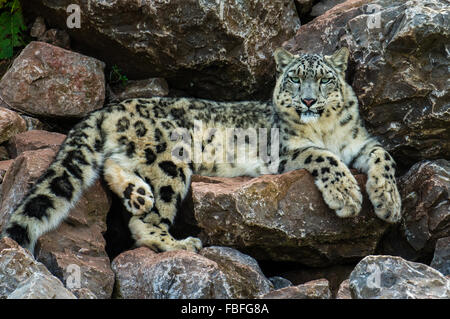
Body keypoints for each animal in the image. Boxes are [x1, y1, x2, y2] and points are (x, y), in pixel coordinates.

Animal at [2, 46, 400, 254]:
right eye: (295, 79)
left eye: (325, 79)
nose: (308, 100)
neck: (325, 129)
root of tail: (110, 108)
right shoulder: (287, 149)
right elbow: (325, 157)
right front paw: (348, 197)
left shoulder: (361, 141)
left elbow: (385, 157)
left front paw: (389, 203)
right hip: (170, 158)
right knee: (144, 222)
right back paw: (180, 243)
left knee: (114, 167)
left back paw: (137, 194)